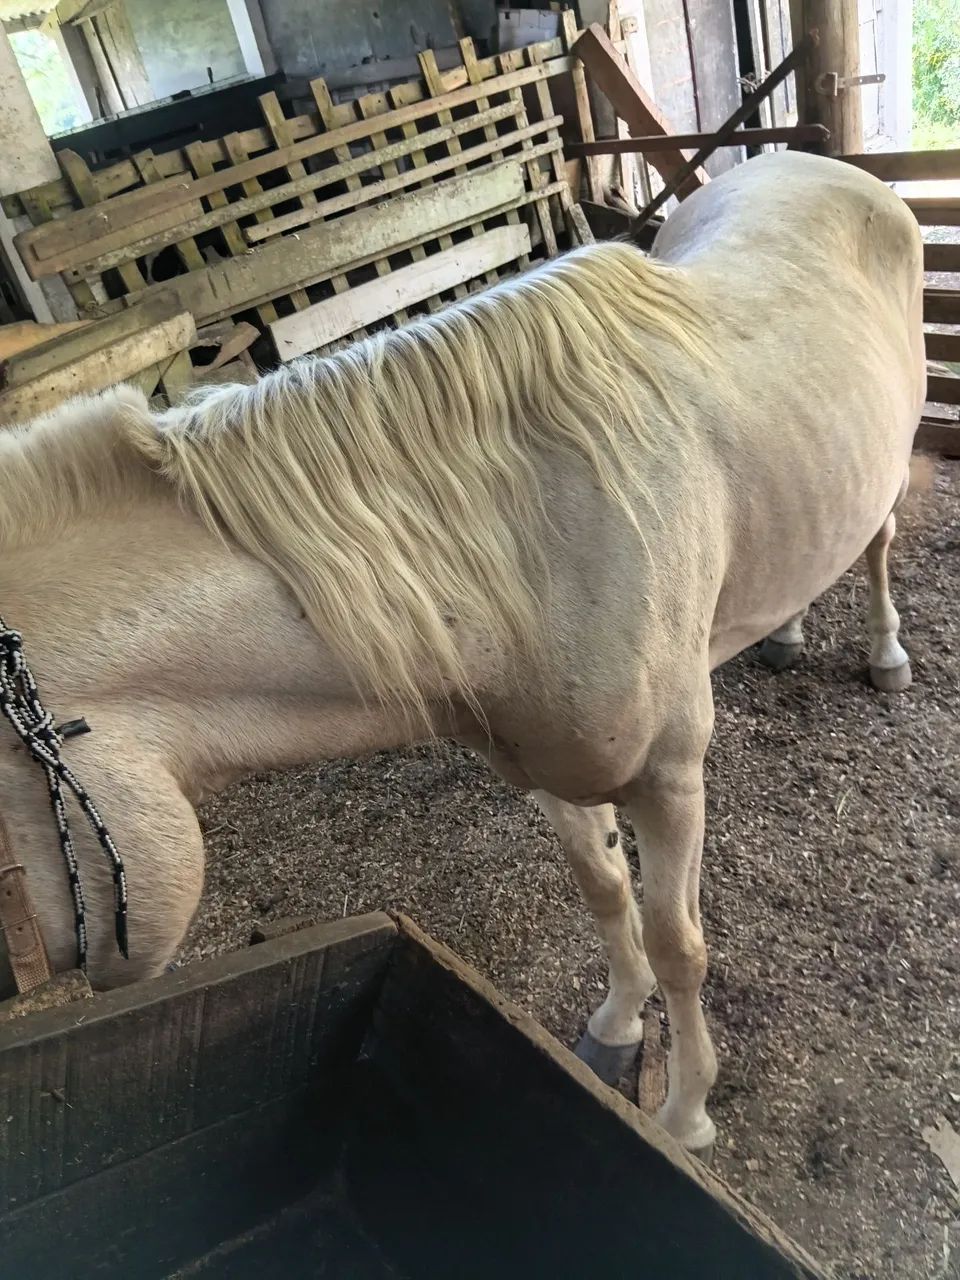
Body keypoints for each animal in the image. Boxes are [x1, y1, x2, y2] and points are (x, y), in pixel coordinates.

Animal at [0, 150, 925, 1153]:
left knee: (879, 544)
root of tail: (816, 162)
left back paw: (887, 656)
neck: (529, 541)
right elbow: (605, 893)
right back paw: (784, 634)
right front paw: (615, 1027)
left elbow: (680, 945)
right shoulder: (544, 770)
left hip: (888, 467)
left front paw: (684, 1115)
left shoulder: (671, 779)